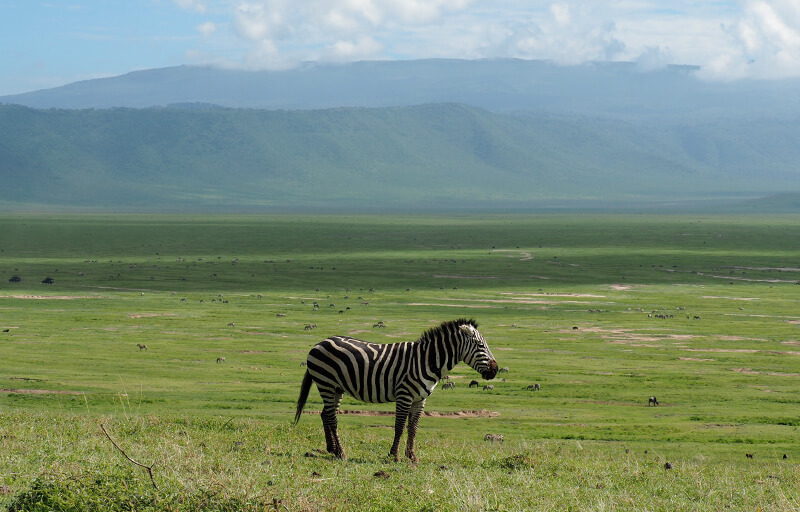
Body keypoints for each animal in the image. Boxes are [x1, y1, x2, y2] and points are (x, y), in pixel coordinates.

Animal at [294, 318, 494, 462]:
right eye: (481, 346)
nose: (495, 369)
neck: (426, 360)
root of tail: (319, 343)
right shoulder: (404, 395)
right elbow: (399, 426)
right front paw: (394, 455)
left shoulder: (420, 399)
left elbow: (413, 427)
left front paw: (411, 456)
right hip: (325, 383)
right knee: (332, 418)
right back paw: (341, 453)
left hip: (336, 387)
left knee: (326, 414)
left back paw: (332, 449)